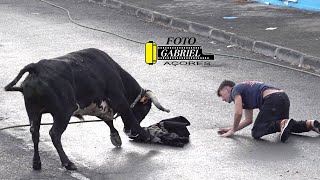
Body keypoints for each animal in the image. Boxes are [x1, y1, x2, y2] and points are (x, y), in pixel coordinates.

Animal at [4, 48, 170, 171]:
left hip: (33, 112)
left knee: (35, 133)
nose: (129, 133)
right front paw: (149, 136)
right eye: (144, 110)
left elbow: (108, 120)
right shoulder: (118, 97)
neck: (115, 72)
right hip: (63, 112)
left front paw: (115, 137)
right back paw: (68, 163)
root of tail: (37, 67)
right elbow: (129, 116)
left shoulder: (100, 104)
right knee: (54, 134)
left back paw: (37, 163)